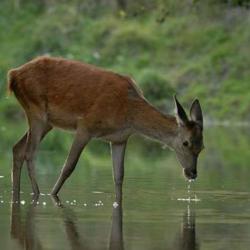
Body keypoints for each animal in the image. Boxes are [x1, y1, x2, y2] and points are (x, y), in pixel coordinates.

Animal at [7, 56, 203, 201]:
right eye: (185, 143)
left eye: (202, 147)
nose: (192, 173)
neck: (130, 113)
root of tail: (12, 75)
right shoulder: (85, 126)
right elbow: (68, 166)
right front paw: (53, 195)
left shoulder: (119, 139)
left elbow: (119, 176)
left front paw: (119, 201)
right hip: (36, 111)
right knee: (29, 153)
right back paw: (37, 193)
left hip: (47, 122)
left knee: (17, 148)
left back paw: (16, 192)